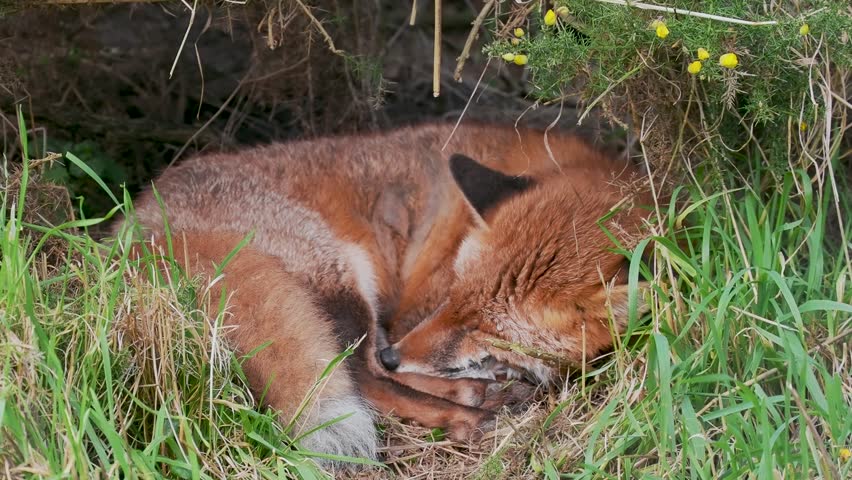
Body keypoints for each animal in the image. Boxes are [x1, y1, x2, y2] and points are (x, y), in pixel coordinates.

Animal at [114, 122, 652, 463]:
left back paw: (467, 390)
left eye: (483, 326)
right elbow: (388, 364)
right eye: (452, 292)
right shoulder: (413, 310)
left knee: (372, 370)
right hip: (342, 280)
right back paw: (464, 413)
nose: (398, 353)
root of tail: (135, 231)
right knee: (362, 374)